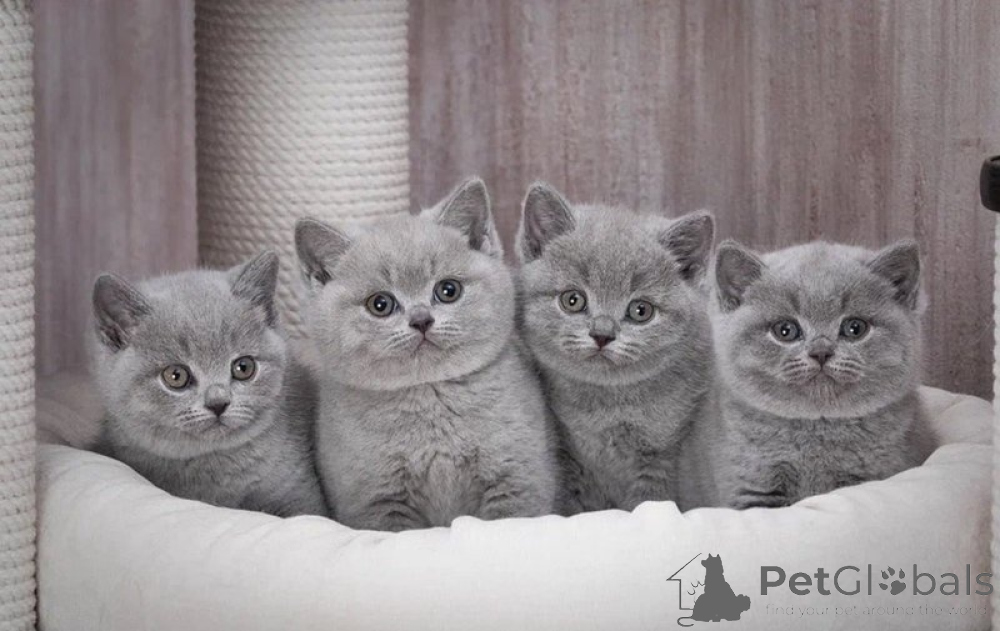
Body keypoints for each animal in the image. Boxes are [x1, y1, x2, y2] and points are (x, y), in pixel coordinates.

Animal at [296, 177, 558, 531]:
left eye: (448, 290)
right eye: (380, 304)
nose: (421, 320)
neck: (428, 399)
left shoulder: (516, 478)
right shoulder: (376, 501)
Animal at [515, 182, 715, 513]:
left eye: (641, 310)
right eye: (572, 300)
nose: (602, 333)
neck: (606, 406)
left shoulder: (663, 455)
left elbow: (650, 501)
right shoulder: (568, 458)